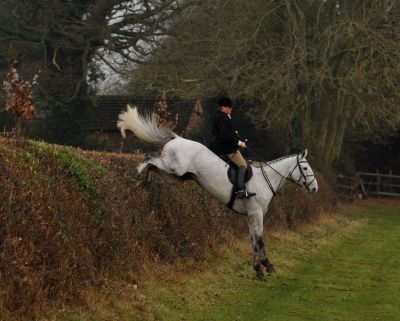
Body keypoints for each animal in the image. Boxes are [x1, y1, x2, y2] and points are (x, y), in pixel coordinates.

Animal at [116, 104, 318, 278]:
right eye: (305, 168)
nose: (315, 188)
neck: (265, 180)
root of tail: (178, 138)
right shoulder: (256, 213)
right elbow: (260, 240)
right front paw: (268, 266)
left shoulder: (250, 215)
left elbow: (253, 241)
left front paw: (258, 270)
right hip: (174, 168)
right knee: (149, 157)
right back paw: (136, 173)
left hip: (176, 176)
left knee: (153, 165)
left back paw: (143, 183)